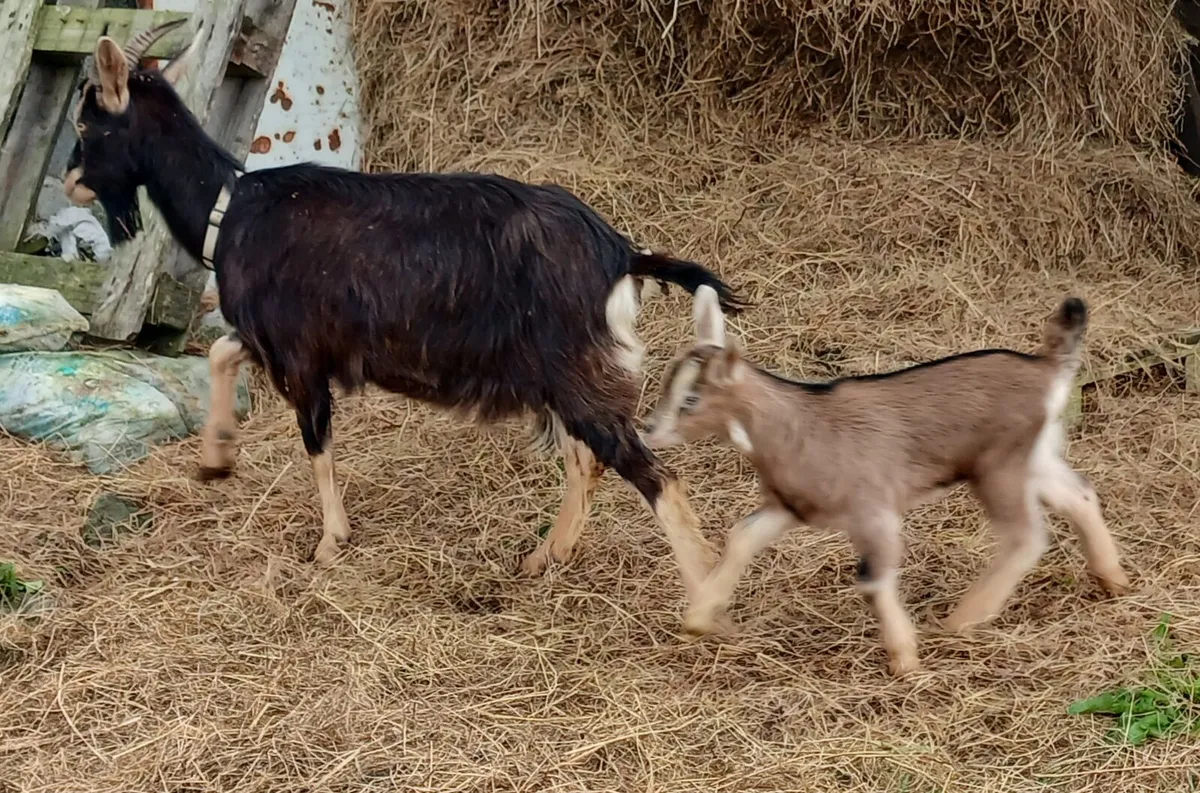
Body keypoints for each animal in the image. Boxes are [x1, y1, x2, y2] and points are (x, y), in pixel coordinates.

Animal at [65, 22, 748, 612]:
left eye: (87, 122)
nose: (70, 181)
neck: (230, 210)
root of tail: (621, 253)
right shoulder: (277, 339)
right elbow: (219, 351)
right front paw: (216, 458)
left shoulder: (301, 354)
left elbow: (316, 441)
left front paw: (330, 542)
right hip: (565, 376)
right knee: (588, 461)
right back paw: (542, 559)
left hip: (574, 371)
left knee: (651, 475)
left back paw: (700, 602)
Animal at [643, 286, 1130, 675]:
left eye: (690, 399)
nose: (648, 429)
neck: (796, 425)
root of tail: (1049, 368)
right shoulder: (790, 505)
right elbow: (742, 536)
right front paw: (698, 619)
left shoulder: (872, 509)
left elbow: (873, 577)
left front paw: (904, 659)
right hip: (1034, 456)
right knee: (1079, 495)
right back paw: (1113, 580)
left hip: (999, 466)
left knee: (1024, 536)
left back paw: (962, 620)